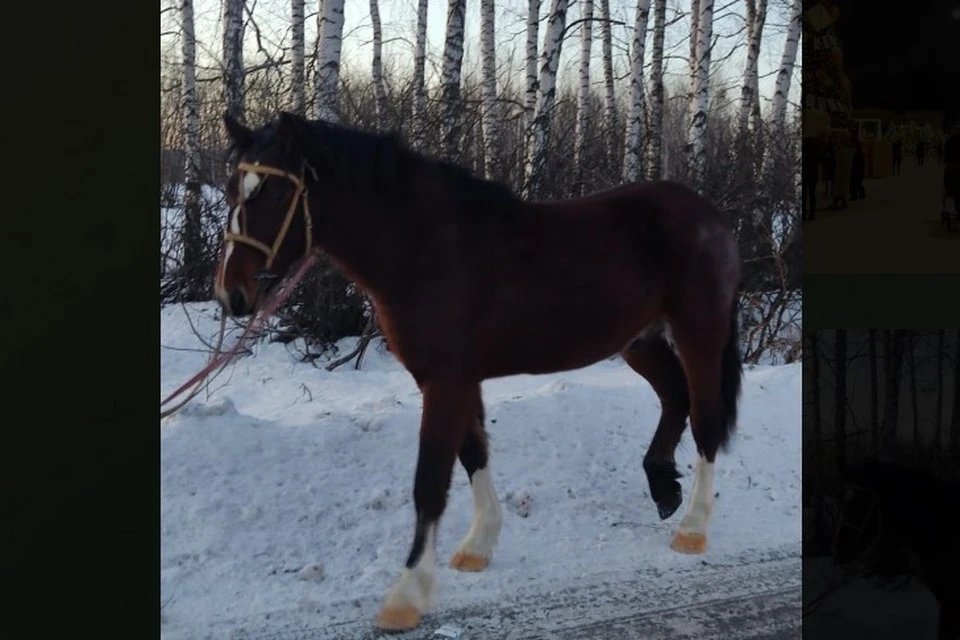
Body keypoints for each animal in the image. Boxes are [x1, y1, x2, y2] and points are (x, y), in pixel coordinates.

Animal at [216, 112, 744, 632]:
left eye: (275, 193)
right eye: (231, 189)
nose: (232, 294)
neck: (424, 249)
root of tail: (711, 216)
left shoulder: (446, 381)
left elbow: (430, 480)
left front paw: (407, 595)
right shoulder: (454, 379)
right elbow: (473, 453)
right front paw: (479, 545)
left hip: (698, 334)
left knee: (705, 420)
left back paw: (693, 527)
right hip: (640, 340)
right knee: (675, 398)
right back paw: (663, 486)